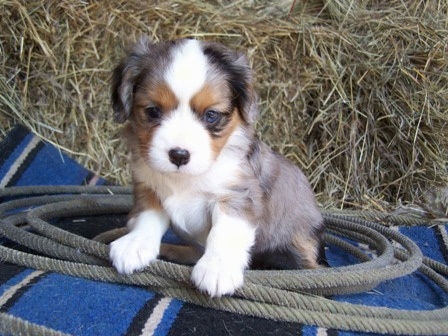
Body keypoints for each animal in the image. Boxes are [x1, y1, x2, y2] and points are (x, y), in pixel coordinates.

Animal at [108, 37, 326, 296]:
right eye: (153, 111)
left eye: (211, 115)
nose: (179, 155)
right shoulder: (148, 186)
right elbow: (147, 217)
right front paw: (136, 243)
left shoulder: (237, 195)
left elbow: (224, 233)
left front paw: (218, 267)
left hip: (299, 241)